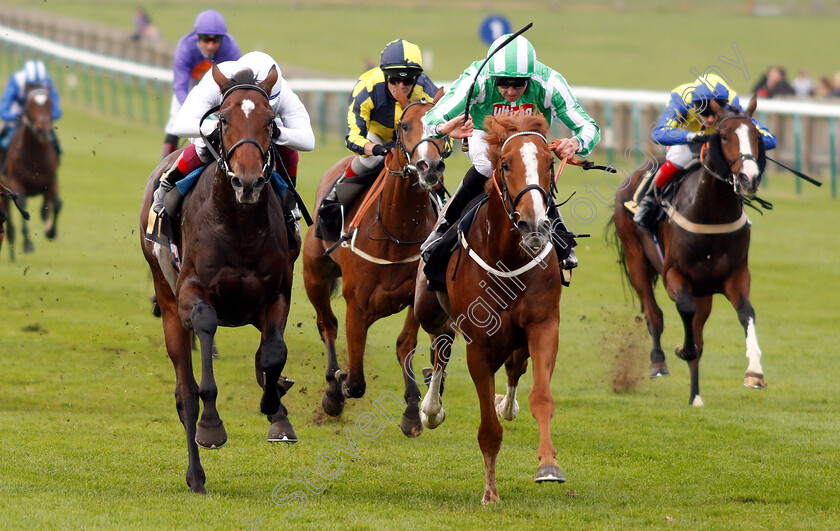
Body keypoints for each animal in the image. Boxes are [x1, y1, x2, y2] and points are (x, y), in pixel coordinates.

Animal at [1, 85, 60, 260]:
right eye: (29, 105)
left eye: (49, 103)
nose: (42, 130)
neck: (35, 154)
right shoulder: (16, 183)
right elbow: (22, 204)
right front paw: (27, 245)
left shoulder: (51, 181)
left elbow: (56, 204)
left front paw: (51, 231)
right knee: (9, 223)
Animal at [143, 64, 300, 496]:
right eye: (224, 120)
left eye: (270, 122)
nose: (247, 181)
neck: (238, 225)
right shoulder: (191, 294)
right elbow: (205, 338)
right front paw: (212, 428)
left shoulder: (275, 296)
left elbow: (274, 354)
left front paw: (275, 409)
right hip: (168, 307)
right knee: (185, 394)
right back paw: (196, 474)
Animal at [300, 98, 446, 436]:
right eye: (405, 125)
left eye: (442, 124)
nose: (430, 167)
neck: (395, 231)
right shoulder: (357, 305)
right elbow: (354, 381)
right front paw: (337, 386)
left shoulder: (414, 298)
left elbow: (405, 345)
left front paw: (412, 410)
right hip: (314, 275)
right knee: (327, 324)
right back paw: (332, 388)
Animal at [416, 114, 568, 504]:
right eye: (506, 164)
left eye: (549, 163)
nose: (534, 223)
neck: (510, 255)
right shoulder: (479, 344)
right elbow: (488, 427)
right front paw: (490, 493)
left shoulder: (544, 325)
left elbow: (541, 396)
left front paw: (549, 466)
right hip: (428, 308)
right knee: (441, 345)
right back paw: (430, 409)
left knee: (515, 367)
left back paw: (507, 403)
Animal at [612, 97, 768, 408]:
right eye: (723, 136)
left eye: (756, 136)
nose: (749, 178)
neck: (710, 212)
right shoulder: (675, 274)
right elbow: (684, 311)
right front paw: (682, 350)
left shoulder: (735, 275)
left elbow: (746, 312)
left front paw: (755, 371)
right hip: (636, 258)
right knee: (653, 313)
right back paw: (658, 363)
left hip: (704, 290)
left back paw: (695, 396)